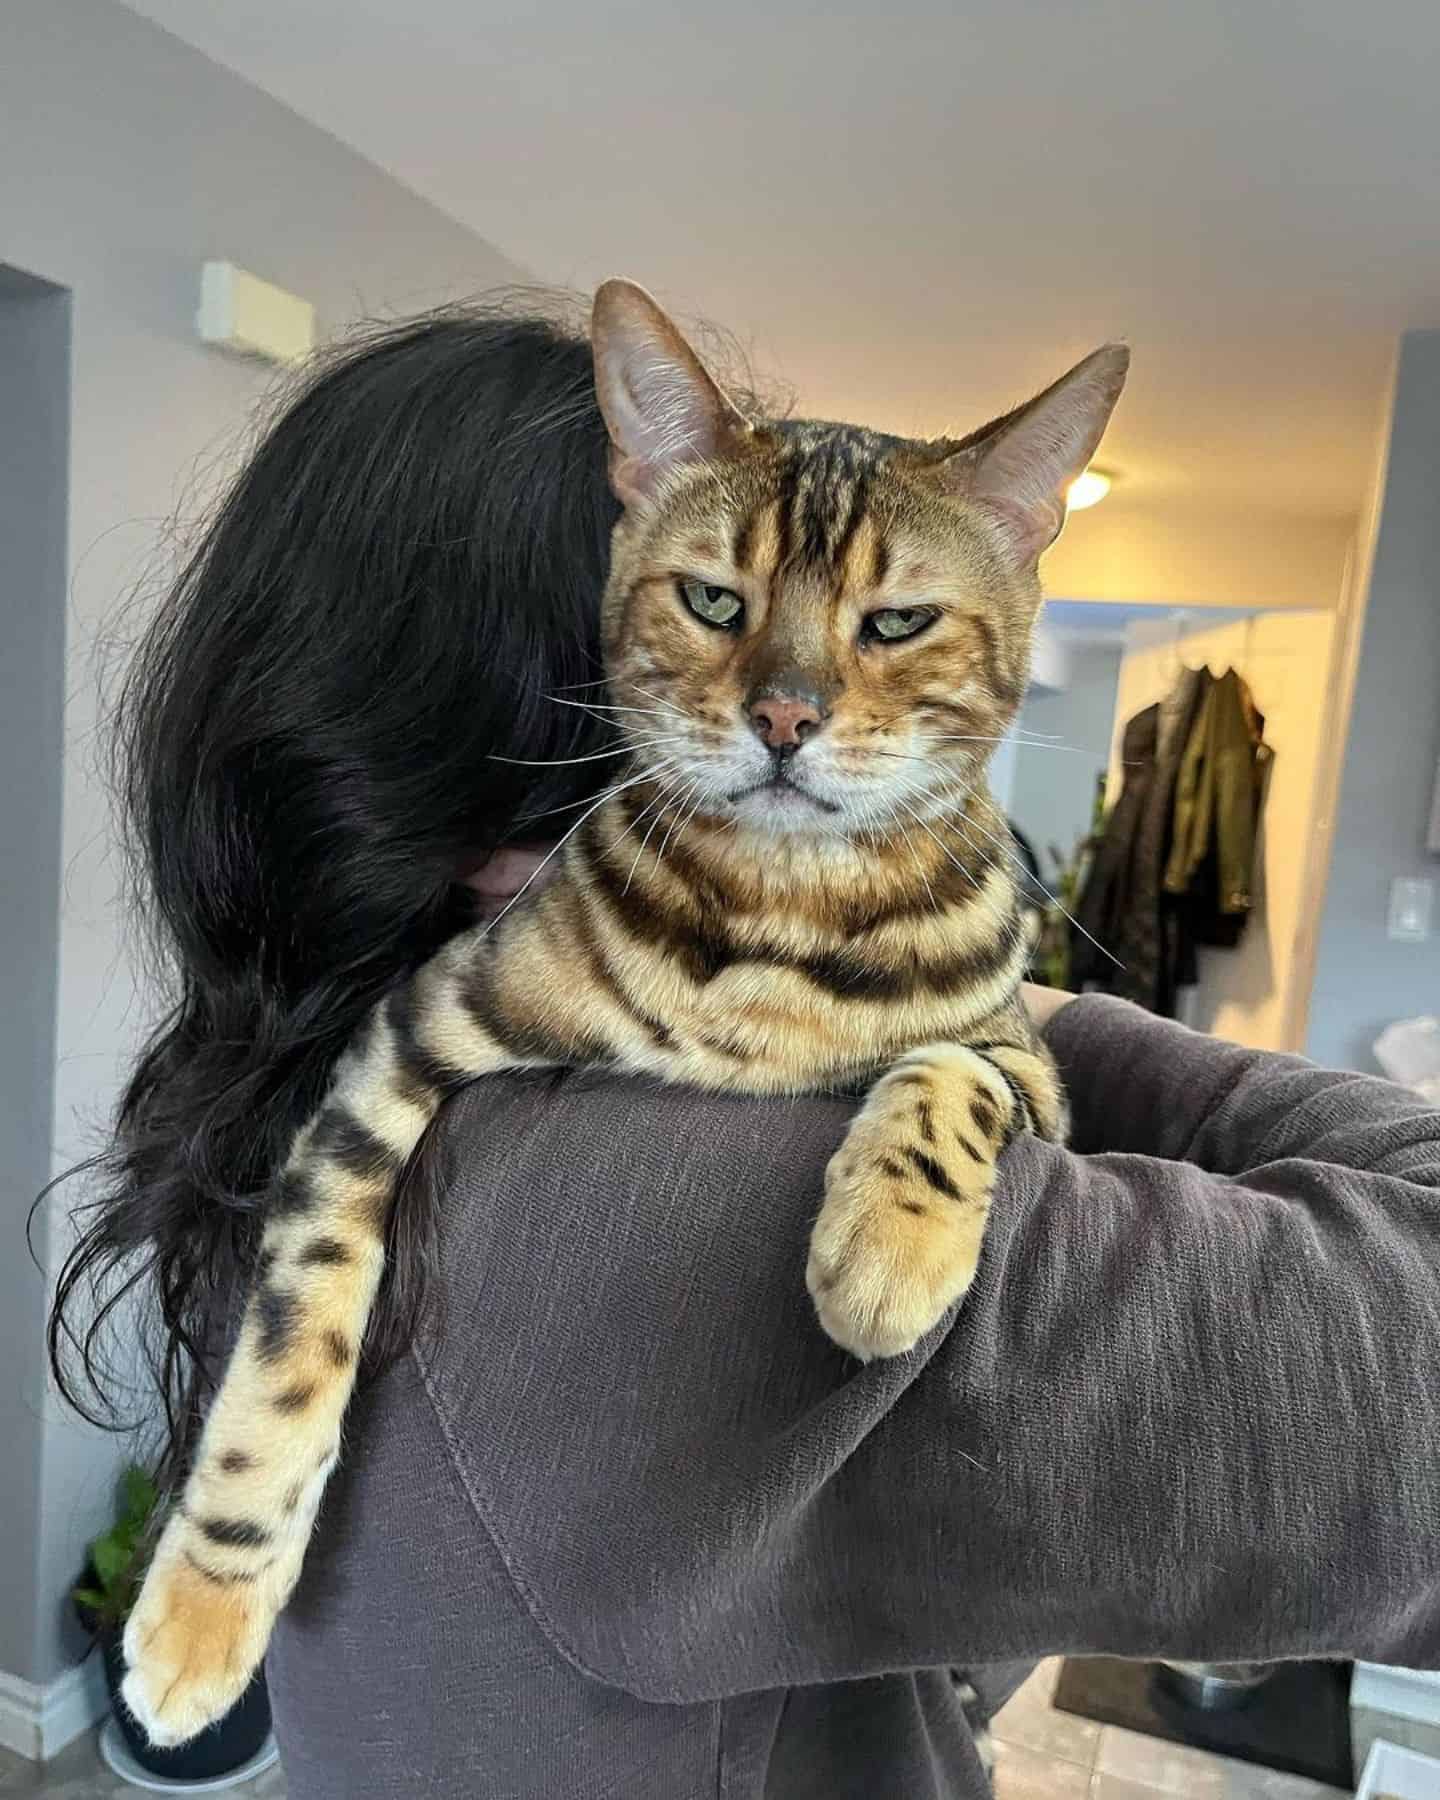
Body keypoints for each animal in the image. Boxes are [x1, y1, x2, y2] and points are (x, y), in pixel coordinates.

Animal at [120, 280, 1123, 1742]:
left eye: (896, 623)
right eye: (713, 600)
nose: (783, 716)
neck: (779, 918)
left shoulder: (1031, 1067)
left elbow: (952, 1069)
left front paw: (889, 1245)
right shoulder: (410, 1035)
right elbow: (295, 1328)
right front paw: (207, 1602)